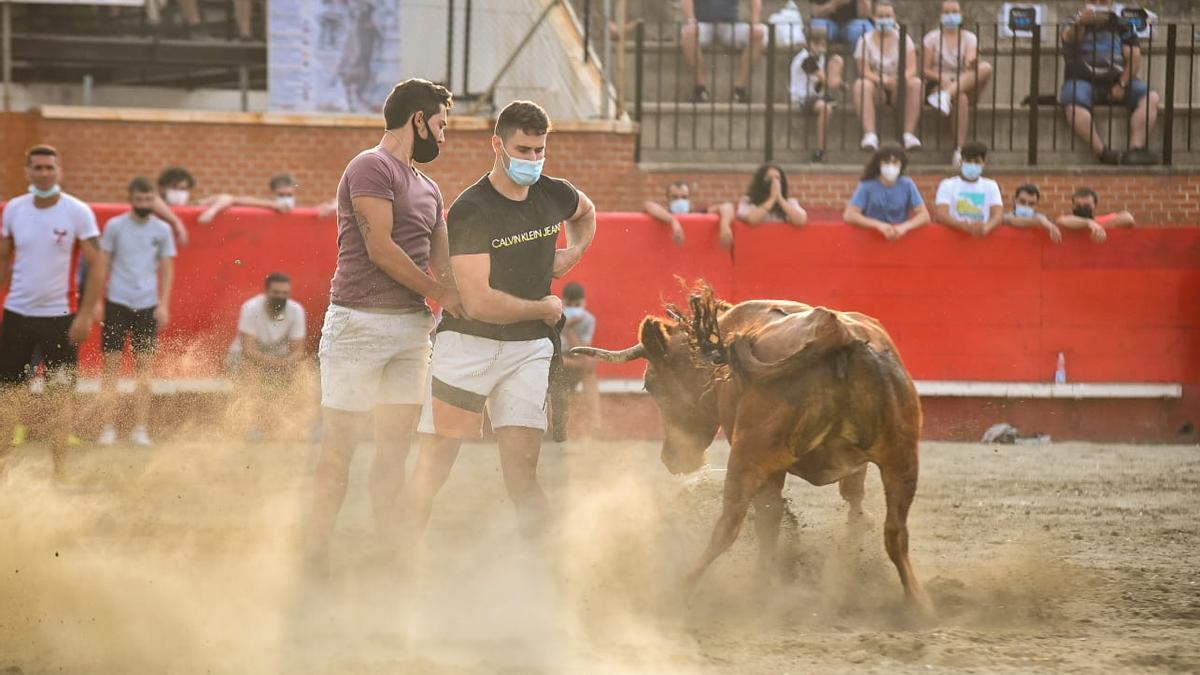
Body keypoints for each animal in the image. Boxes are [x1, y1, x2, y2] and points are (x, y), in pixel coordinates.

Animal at [571, 285, 926, 607]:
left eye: (651, 383)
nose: (673, 459)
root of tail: (834, 335)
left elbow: (768, 517)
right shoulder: (854, 465)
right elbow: (855, 506)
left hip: (749, 453)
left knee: (731, 524)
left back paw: (687, 587)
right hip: (902, 455)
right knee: (895, 530)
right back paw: (917, 604)